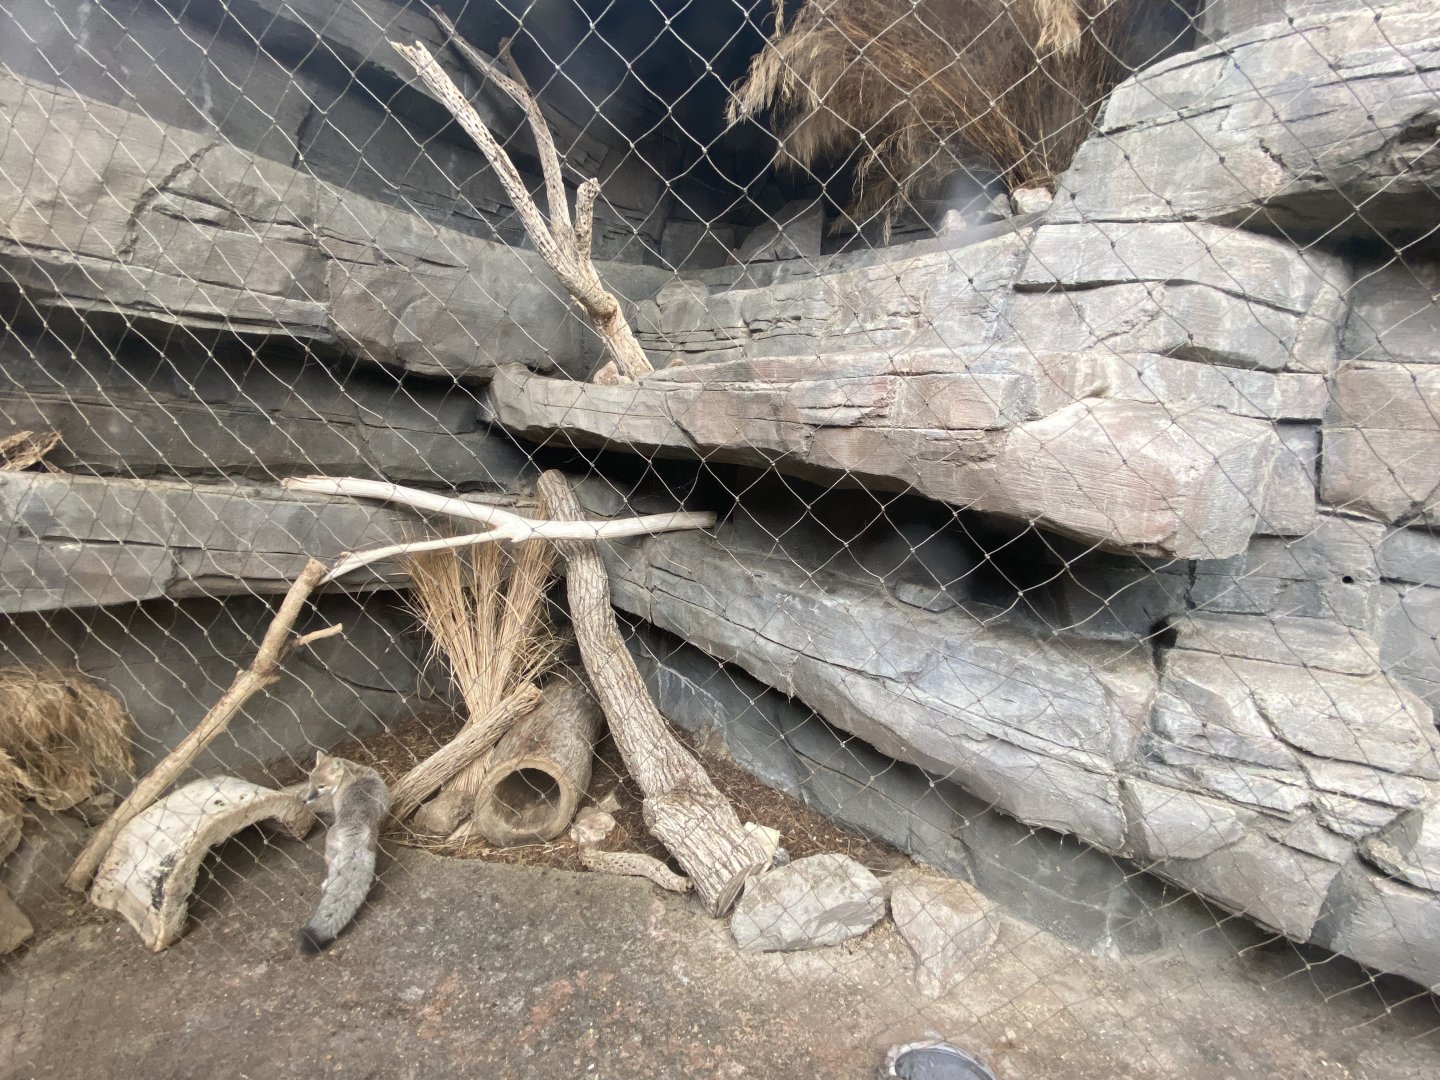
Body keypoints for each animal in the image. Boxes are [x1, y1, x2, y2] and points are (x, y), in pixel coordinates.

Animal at [297, 752, 390, 955]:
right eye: (310, 781)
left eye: (321, 786)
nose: (305, 800)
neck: (352, 771)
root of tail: (354, 831)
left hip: (328, 854)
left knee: (330, 870)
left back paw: (326, 884)